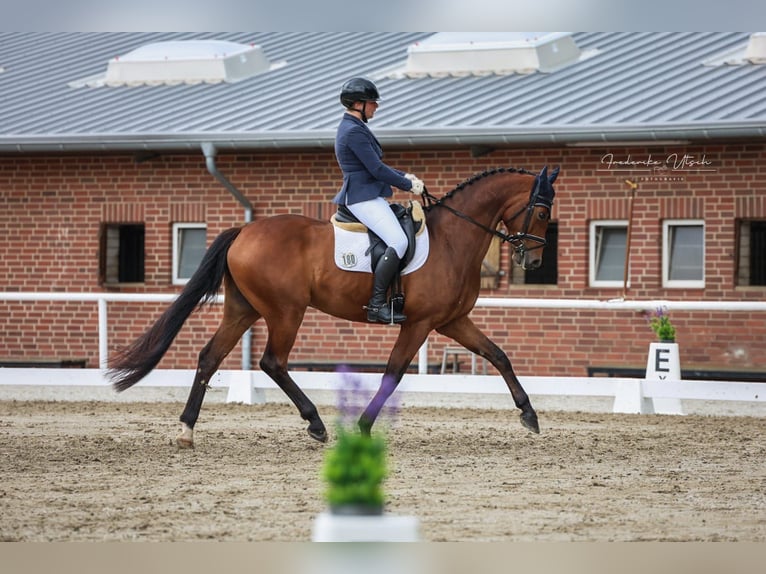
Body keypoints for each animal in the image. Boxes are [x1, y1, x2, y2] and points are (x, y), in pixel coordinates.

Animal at [108, 164, 560, 448]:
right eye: (541, 212)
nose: (534, 262)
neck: (453, 238)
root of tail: (244, 231)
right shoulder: (420, 323)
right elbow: (393, 374)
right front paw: (362, 426)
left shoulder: (452, 321)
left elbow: (498, 355)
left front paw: (529, 415)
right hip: (286, 311)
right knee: (272, 362)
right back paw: (316, 424)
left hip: (244, 309)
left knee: (209, 356)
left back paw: (187, 430)